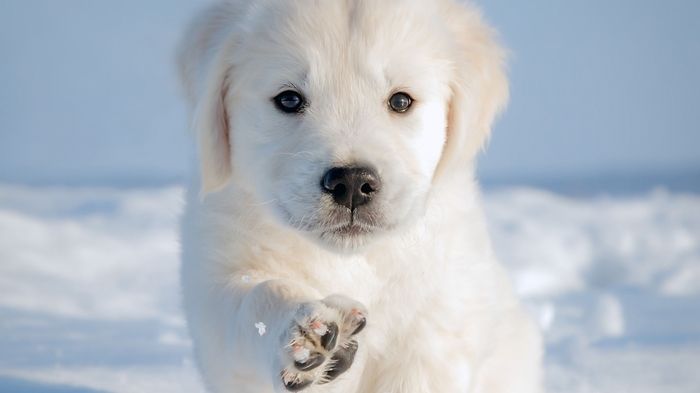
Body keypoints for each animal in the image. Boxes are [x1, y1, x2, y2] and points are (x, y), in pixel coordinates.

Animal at [178, 0, 544, 392]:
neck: (354, 260)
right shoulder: (212, 281)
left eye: (401, 101)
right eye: (289, 99)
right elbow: (253, 297)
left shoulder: (439, 329)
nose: (352, 183)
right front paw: (307, 330)